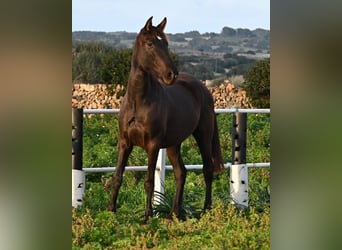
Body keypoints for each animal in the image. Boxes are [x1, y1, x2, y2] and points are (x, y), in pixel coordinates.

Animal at [108, 16, 223, 223]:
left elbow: (148, 181)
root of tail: (203, 89)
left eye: (166, 44)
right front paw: (111, 211)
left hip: (203, 135)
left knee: (207, 169)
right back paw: (174, 214)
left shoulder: (152, 145)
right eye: (150, 43)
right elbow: (118, 176)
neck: (139, 101)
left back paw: (206, 210)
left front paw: (147, 217)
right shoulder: (125, 143)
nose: (171, 74)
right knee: (181, 172)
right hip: (173, 144)